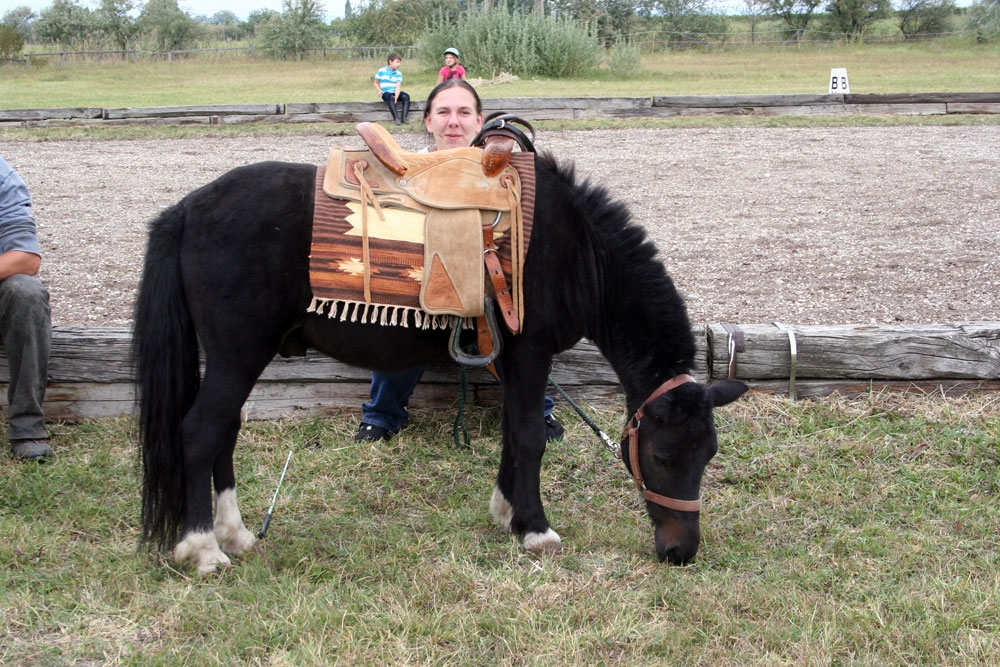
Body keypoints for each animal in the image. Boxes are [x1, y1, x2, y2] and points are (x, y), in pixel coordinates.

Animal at [135, 151, 744, 576]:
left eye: (709, 454)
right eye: (662, 455)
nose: (680, 552)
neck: (576, 251)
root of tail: (186, 210)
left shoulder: (513, 361)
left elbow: (514, 433)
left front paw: (506, 513)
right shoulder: (530, 352)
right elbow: (529, 437)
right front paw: (535, 529)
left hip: (239, 359)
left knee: (223, 434)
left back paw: (234, 535)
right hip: (238, 355)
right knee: (200, 432)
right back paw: (204, 548)